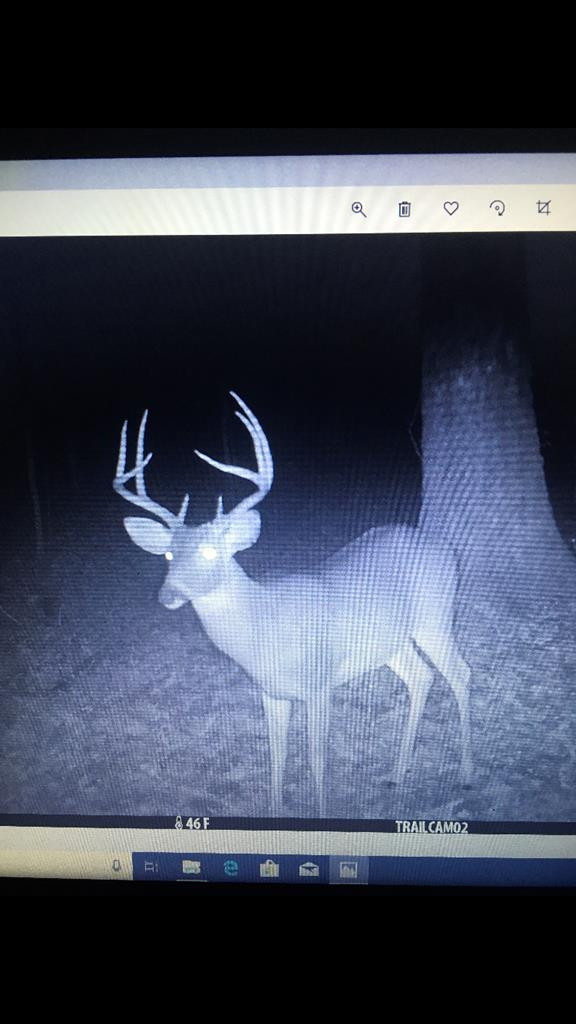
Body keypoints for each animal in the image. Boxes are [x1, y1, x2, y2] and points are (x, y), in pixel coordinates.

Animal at [113, 392, 472, 815]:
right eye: (168, 555)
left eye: (209, 551)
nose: (168, 595)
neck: (262, 629)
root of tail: (442, 547)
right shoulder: (271, 692)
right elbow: (277, 756)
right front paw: (275, 810)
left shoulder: (319, 683)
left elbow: (316, 759)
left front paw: (322, 812)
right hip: (390, 641)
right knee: (422, 677)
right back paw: (397, 775)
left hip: (435, 616)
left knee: (460, 673)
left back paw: (466, 774)